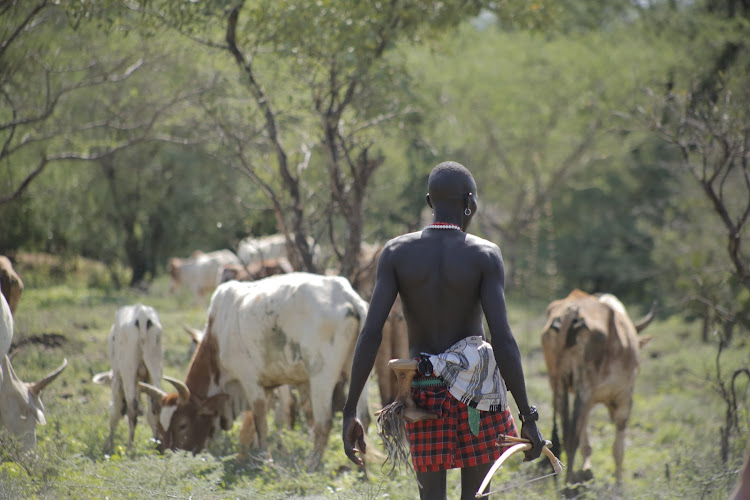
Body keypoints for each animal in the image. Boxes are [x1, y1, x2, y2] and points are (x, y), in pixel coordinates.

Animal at [92, 302, 164, 452]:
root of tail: (142, 315)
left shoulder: (117, 381)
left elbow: (115, 412)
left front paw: (110, 445)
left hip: (128, 371)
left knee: (132, 409)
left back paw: (129, 448)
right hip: (154, 370)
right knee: (154, 409)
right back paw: (156, 445)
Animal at [140, 272, 372, 470]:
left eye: (182, 425)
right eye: (161, 425)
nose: (171, 455)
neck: (217, 336)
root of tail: (348, 296)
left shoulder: (251, 383)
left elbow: (260, 423)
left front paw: (264, 460)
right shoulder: (272, 386)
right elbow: (251, 427)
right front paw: (243, 458)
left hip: (321, 378)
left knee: (324, 423)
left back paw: (312, 465)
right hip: (357, 371)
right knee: (361, 419)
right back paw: (362, 472)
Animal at [540, 290, 656, 484]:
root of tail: (572, 312)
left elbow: (585, 438)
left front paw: (587, 469)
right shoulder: (625, 396)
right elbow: (618, 449)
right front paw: (618, 484)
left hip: (559, 384)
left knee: (567, 433)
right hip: (585, 387)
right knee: (572, 436)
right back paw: (568, 484)